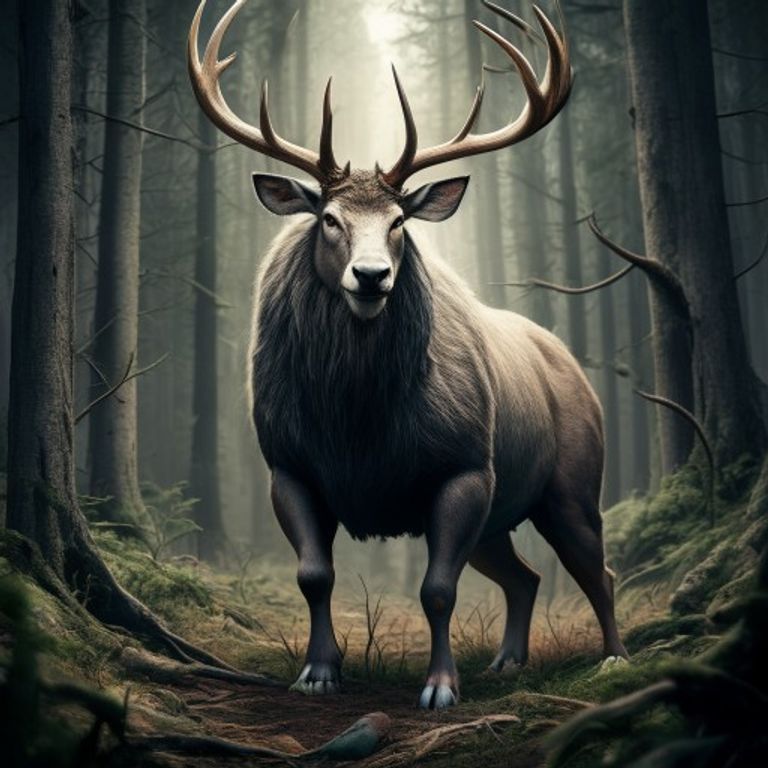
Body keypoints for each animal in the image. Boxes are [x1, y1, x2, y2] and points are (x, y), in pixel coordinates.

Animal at [188, 0, 628, 709]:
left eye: (399, 221)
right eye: (329, 218)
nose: (371, 276)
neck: (358, 426)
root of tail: (571, 367)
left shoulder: (464, 467)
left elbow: (437, 590)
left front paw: (440, 688)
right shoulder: (289, 466)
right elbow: (313, 574)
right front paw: (318, 672)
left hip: (572, 483)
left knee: (597, 567)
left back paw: (614, 658)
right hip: (501, 517)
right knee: (525, 575)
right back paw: (507, 662)